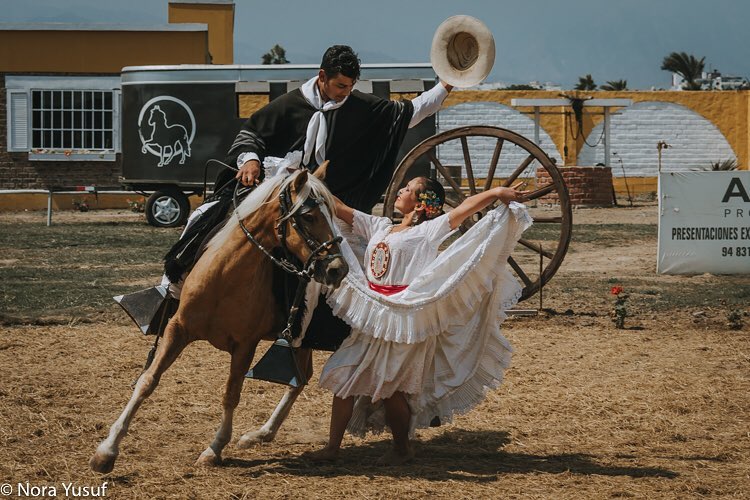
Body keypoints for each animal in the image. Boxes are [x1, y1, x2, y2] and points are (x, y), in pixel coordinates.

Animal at [90, 169, 346, 472]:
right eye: (308, 216)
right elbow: (148, 380)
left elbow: (231, 393)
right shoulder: (178, 329)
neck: (225, 276)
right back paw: (262, 433)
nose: (338, 269)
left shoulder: (245, 345)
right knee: (301, 378)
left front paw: (215, 449)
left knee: (300, 379)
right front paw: (107, 450)